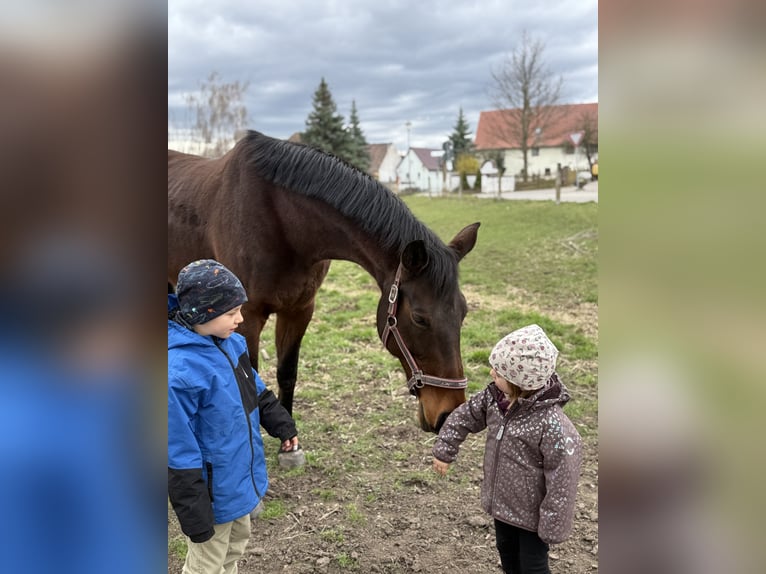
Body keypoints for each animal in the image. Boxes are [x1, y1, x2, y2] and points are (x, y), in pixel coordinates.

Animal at [168, 130, 479, 432]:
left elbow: (287, 373)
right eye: (419, 318)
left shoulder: (299, 309)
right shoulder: (247, 317)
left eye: (464, 312)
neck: (282, 223)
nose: (448, 413)